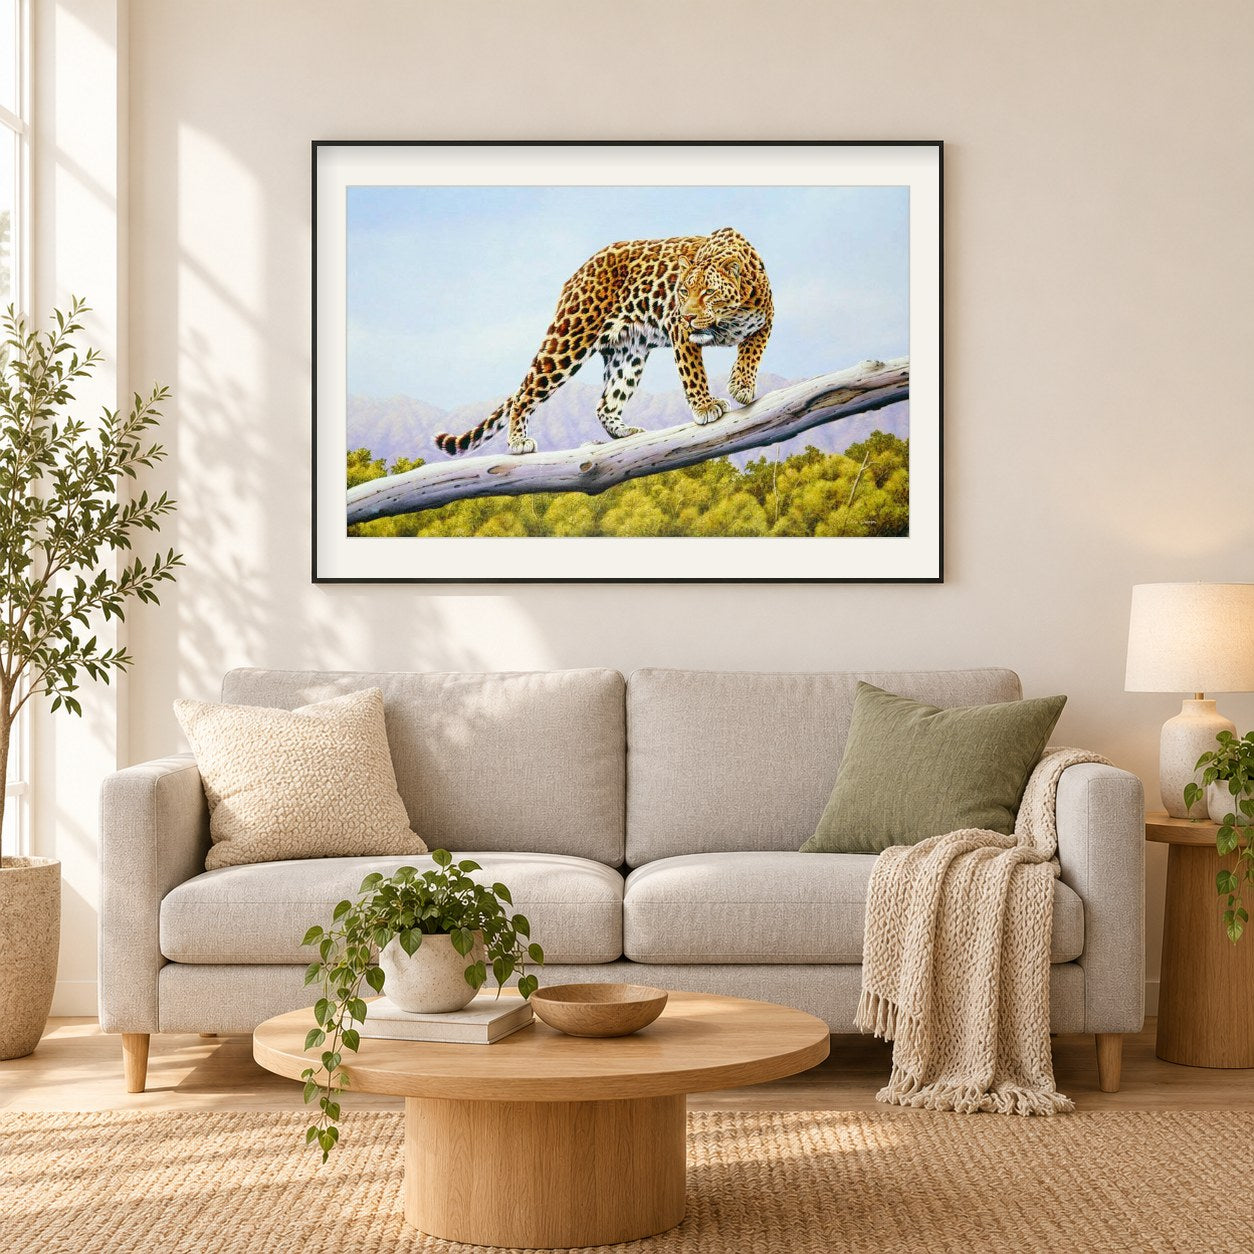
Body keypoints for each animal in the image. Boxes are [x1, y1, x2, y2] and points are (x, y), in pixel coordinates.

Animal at [433, 226, 773, 457]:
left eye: (708, 292)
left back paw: (625, 432)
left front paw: (741, 385)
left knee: (605, 402)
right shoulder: (679, 331)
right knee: (525, 394)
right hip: (570, 339)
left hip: (629, 353)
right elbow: (694, 374)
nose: (688, 316)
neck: (731, 314)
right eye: (682, 291)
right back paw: (518, 441)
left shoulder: (764, 322)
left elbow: (751, 353)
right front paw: (705, 406)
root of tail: (578, 272)